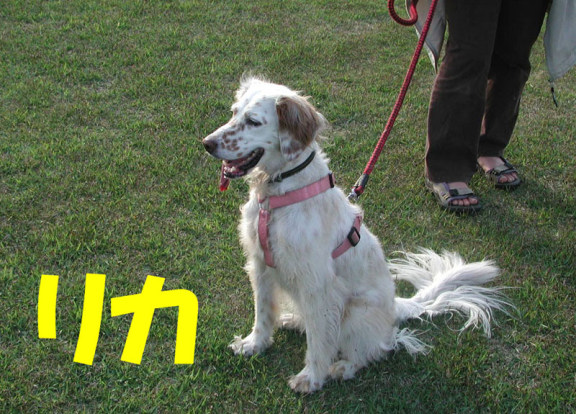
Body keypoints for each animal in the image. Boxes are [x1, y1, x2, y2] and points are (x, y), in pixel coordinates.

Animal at [202, 77, 512, 393]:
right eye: (234, 112)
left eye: (253, 121)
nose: (207, 144)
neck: (278, 194)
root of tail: (396, 307)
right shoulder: (260, 266)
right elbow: (262, 314)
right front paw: (254, 344)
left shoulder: (318, 285)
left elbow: (319, 342)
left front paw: (312, 377)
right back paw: (293, 320)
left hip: (355, 314)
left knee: (375, 349)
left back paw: (342, 367)